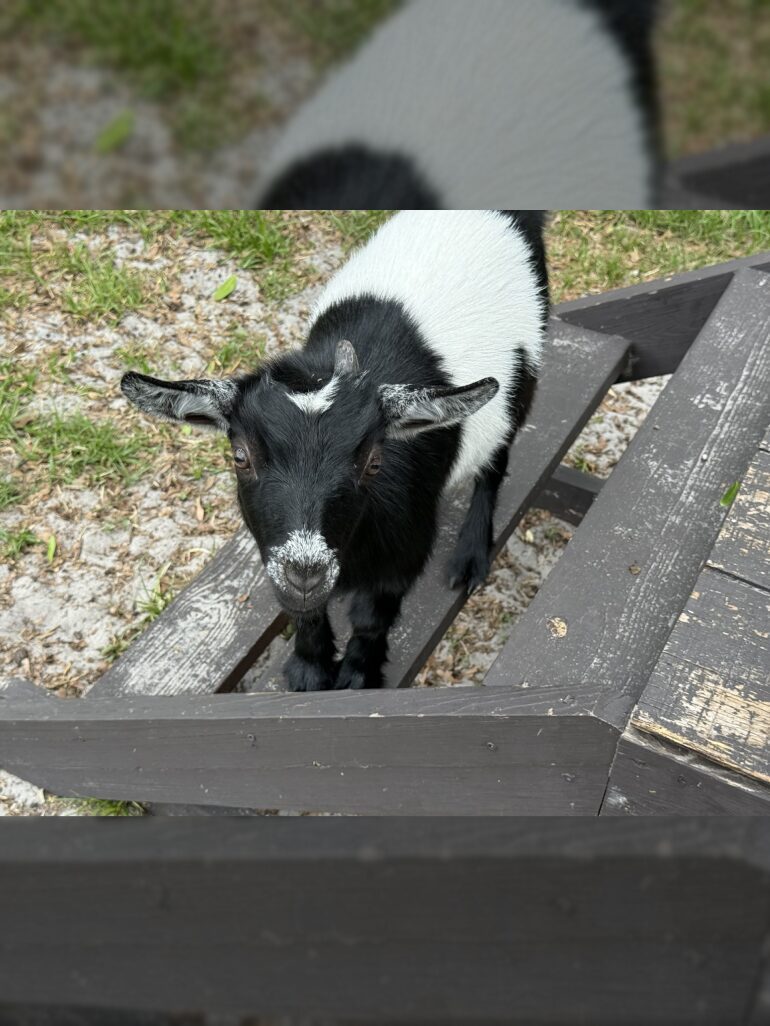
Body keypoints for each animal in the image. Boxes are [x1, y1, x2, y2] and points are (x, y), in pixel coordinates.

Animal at [121, 210, 548, 691]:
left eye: (373, 462)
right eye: (240, 457)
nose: (305, 570)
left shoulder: (404, 553)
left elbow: (371, 617)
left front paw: (358, 674)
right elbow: (303, 610)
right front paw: (310, 668)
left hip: (521, 378)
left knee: (496, 460)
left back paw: (472, 555)